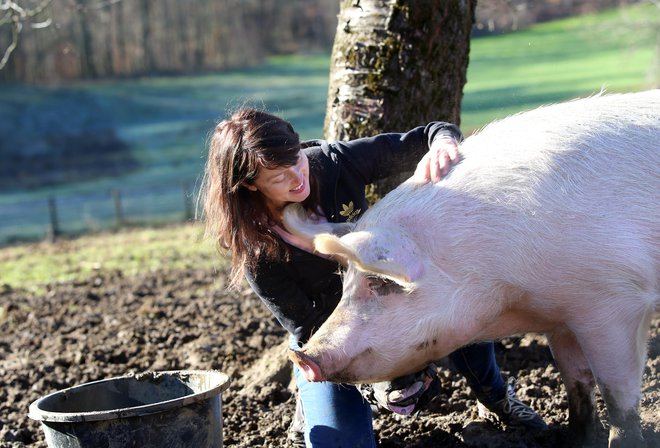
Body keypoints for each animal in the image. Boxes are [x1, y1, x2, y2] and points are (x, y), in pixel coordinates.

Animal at [284, 89, 660, 446]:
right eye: (346, 281)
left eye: (381, 283)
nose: (305, 356)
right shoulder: (561, 317)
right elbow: (577, 384)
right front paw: (576, 441)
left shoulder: (614, 301)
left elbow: (618, 397)